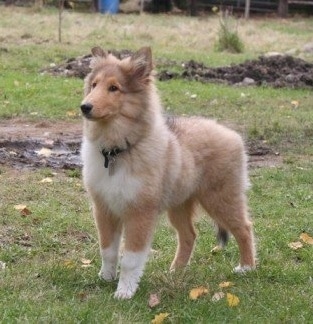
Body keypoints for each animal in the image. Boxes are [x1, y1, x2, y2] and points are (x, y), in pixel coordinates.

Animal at [80, 46, 254, 300]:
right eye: (93, 85)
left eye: (114, 88)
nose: (85, 107)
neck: (118, 151)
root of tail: (231, 133)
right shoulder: (104, 208)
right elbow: (108, 250)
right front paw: (106, 278)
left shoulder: (139, 213)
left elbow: (131, 258)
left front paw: (124, 292)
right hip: (179, 204)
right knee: (189, 235)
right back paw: (176, 271)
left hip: (221, 198)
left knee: (244, 228)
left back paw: (247, 267)